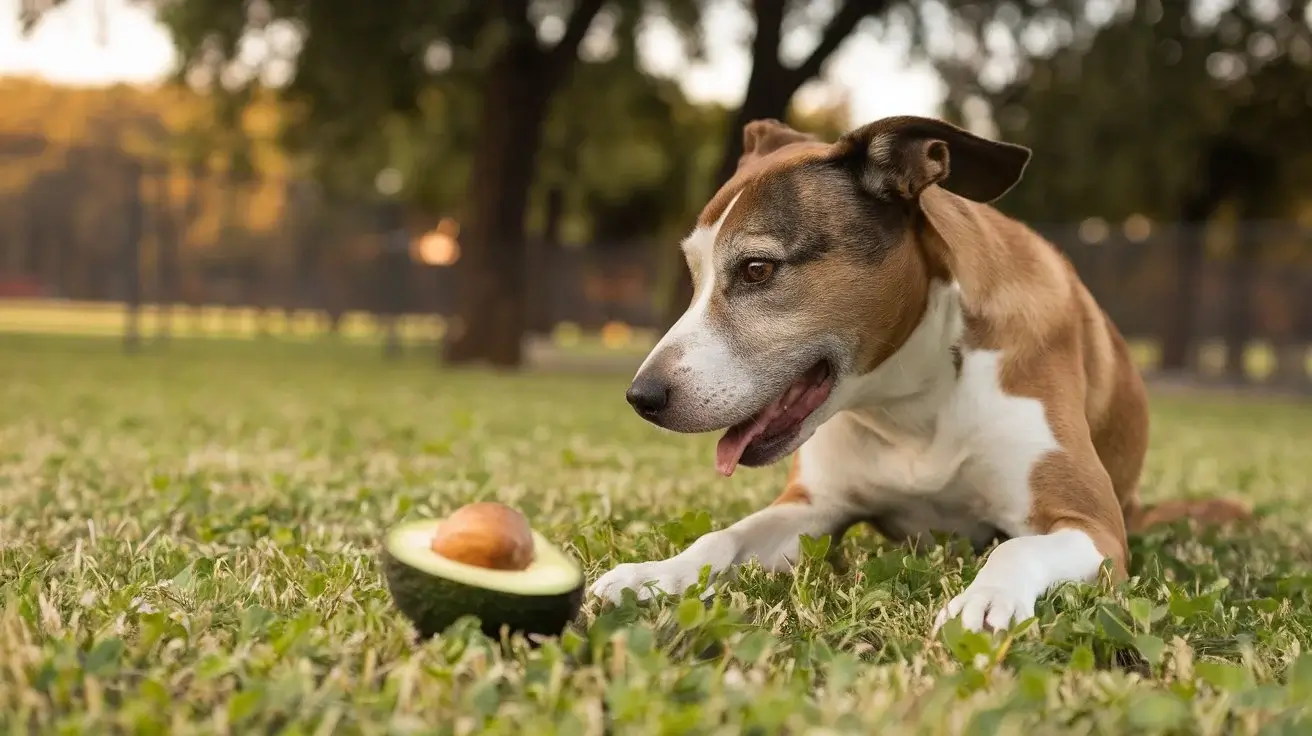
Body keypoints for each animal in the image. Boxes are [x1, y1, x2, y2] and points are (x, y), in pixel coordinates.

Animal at [587, 114, 1249, 632]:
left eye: (755, 269)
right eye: (694, 273)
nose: (642, 396)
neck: (912, 395)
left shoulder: (1095, 528)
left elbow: (1016, 550)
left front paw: (986, 599)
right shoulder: (813, 509)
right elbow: (722, 536)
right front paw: (656, 574)